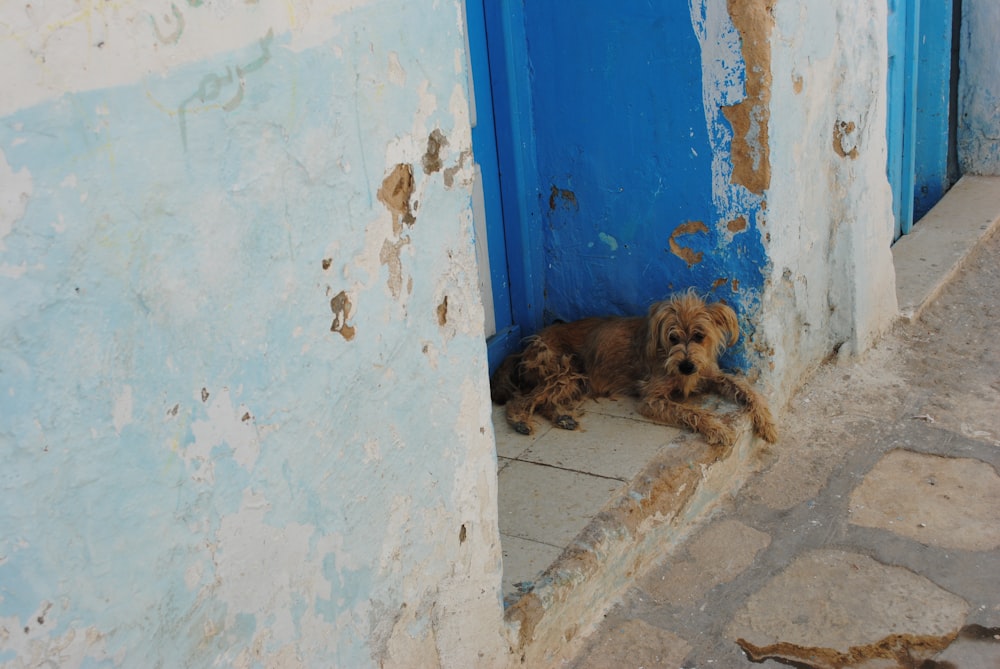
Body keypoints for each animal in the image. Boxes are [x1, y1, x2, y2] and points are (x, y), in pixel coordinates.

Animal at [488, 294, 776, 446]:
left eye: (699, 335)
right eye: (672, 337)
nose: (686, 366)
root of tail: (525, 348)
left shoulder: (711, 375)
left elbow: (748, 390)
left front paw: (766, 422)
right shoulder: (652, 399)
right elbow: (691, 412)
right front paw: (717, 429)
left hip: (574, 379)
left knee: (543, 400)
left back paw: (562, 417)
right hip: (566, 371)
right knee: (520, 400)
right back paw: (520, 421)